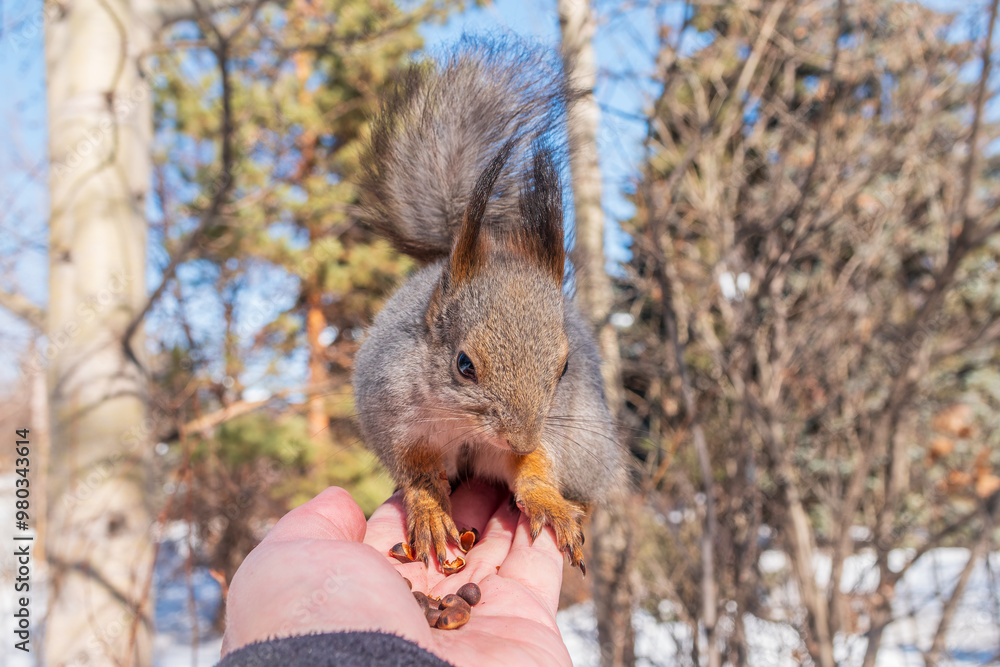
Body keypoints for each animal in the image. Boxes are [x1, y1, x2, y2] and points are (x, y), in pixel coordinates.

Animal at [352, 39, 624, 576]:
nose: (519, 438)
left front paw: (545, 497)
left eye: (564, 368)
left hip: (591, 443)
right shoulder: (391, 412)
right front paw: (429, 510)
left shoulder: (556, 426)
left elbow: (538, 466)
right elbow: (415, 469)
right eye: (463, 365)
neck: (470, 432)